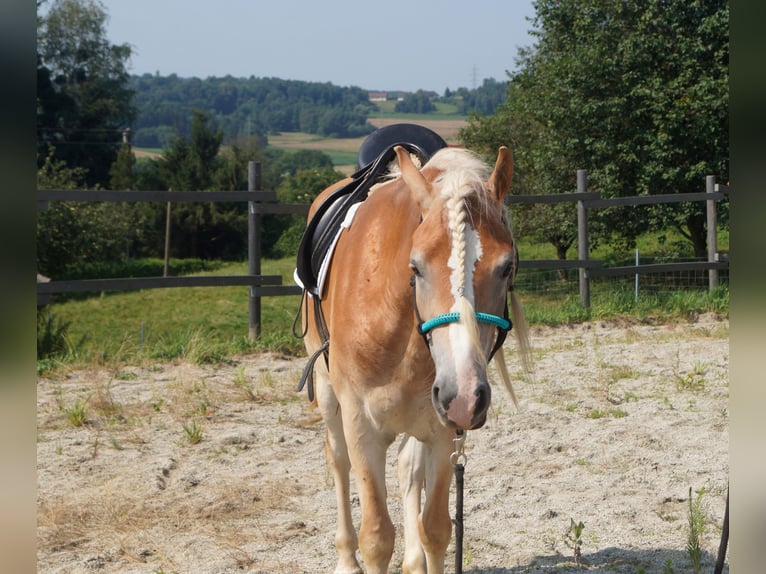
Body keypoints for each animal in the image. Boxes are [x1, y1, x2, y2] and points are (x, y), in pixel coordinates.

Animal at [296, 145, 532, 574]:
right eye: (416, 266)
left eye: (507, 266)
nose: (465, 397)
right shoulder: (361, 427)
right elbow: (376, 538)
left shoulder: (442, 430)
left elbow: (435, 529)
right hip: (326, 391)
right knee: (337, 460)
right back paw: (346, 559)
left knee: (408, 469)